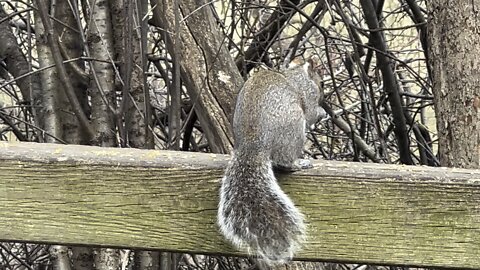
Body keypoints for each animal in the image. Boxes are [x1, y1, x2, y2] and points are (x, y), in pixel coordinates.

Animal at [218, 60, 324, 264]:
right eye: (321, 83)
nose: (323, 91)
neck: (296, 74)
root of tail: (254, 145)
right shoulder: (308, 96)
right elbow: (312, 114)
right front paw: (322, 112)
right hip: (294, 129)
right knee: (284, 160)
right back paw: (299, 163)